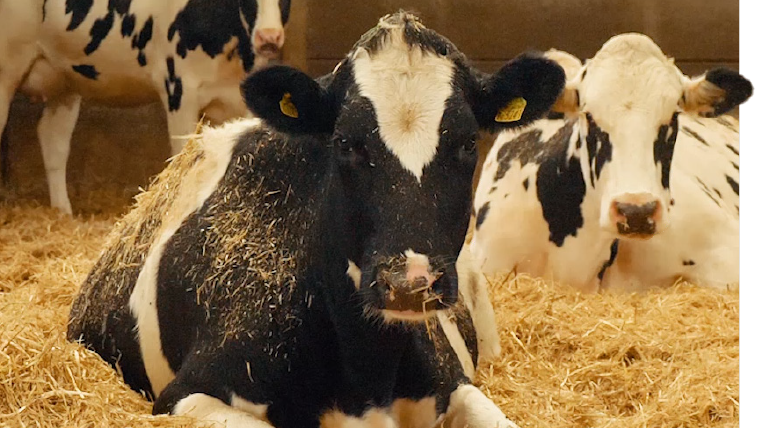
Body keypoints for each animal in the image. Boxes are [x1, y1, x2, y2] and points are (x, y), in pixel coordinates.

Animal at [0, 0, 291, 214]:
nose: (269, 37)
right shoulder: (179, 89)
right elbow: (181, 157)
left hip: (65, 80)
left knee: (53, 140)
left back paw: (63, 213)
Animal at [67, 11, 566, 428]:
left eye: (467, 142)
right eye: (344, 142)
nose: (410, 282)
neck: (364, 375)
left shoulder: (452, 381)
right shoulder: (186, 393)